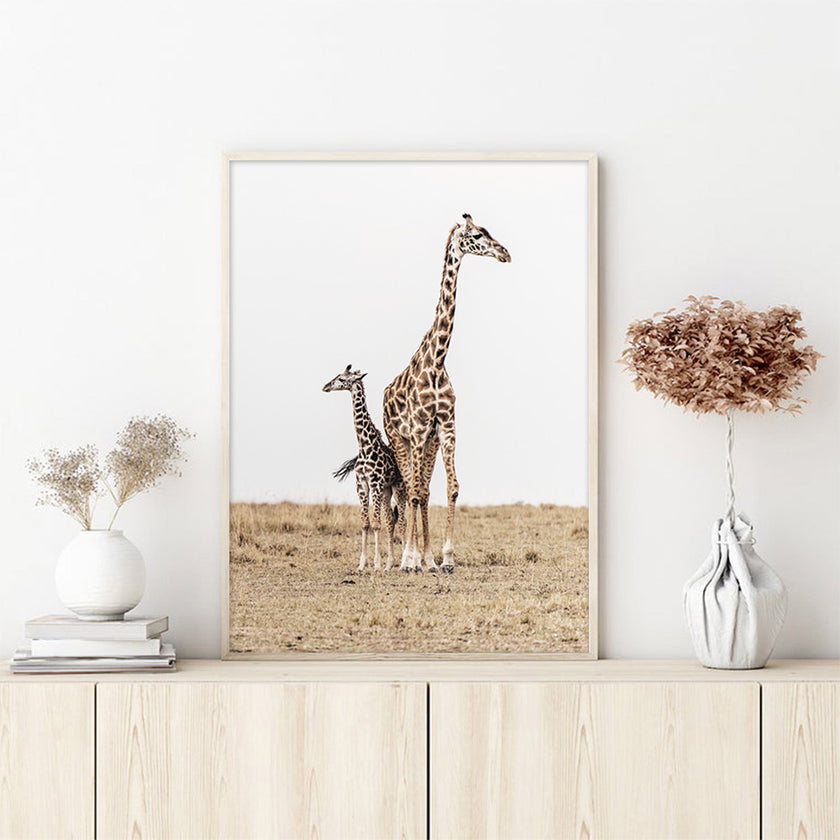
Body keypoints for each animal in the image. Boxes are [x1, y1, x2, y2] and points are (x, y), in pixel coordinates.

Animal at [323, 365, 407, 572]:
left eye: (342, 379)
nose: (325, 386)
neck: (364, 446)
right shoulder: (361, 484)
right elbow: (365, 523)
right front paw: (362, 565)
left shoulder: (374, 483)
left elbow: (376, 523)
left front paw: (376, 564)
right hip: (386, 490)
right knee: (390, 521)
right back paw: (389, 564)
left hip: (398, 487)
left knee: (402, 520)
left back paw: (404, 562)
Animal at [382, 213, 511, 573]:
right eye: (478, 235)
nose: (505, 253)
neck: (438, 360)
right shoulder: (417, 428)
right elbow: (412, 492)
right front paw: (409, 560)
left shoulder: (446, 427)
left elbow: (451, 487)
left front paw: (446, 558)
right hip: (400, 439)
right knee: (409, 489)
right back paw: (410, 559)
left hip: (428, 442)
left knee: (423, 489)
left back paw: (427, 560)